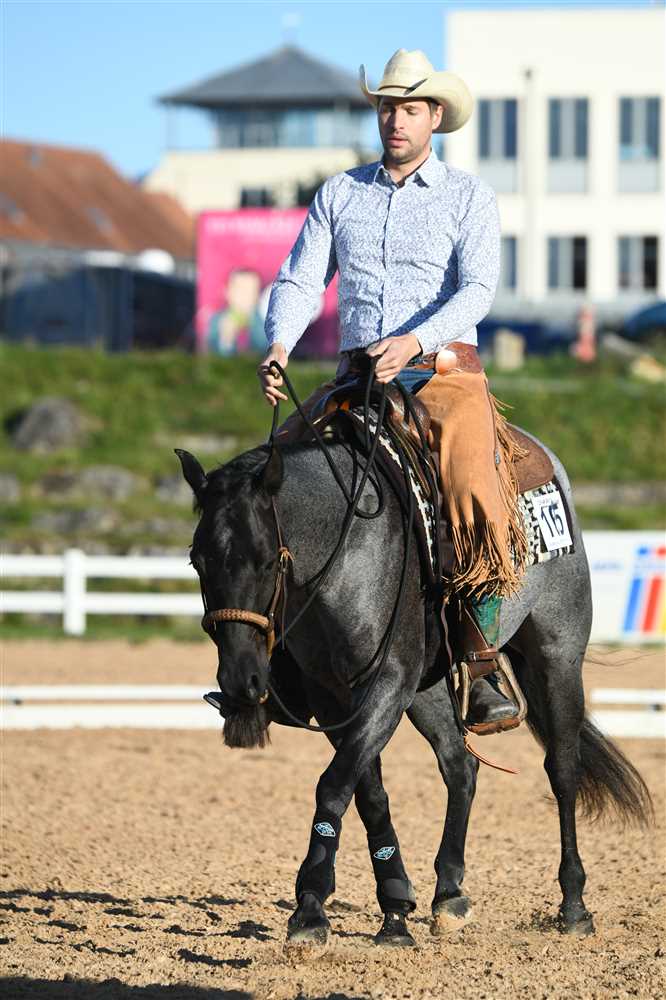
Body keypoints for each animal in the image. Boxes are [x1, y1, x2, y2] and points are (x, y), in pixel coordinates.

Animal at [176, 406, 652, 949]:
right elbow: (367, 792)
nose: (241, 682)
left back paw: (573, 905)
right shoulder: (336, 697)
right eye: (197, 560)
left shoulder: (388, 684)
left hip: (557, 656)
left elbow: (334, 785)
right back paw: (449, 894)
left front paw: (311, 908)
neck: (346, 550)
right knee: (460, 767)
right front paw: (395, 909)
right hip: (428, 690)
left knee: (563, 770)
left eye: (264, 559)